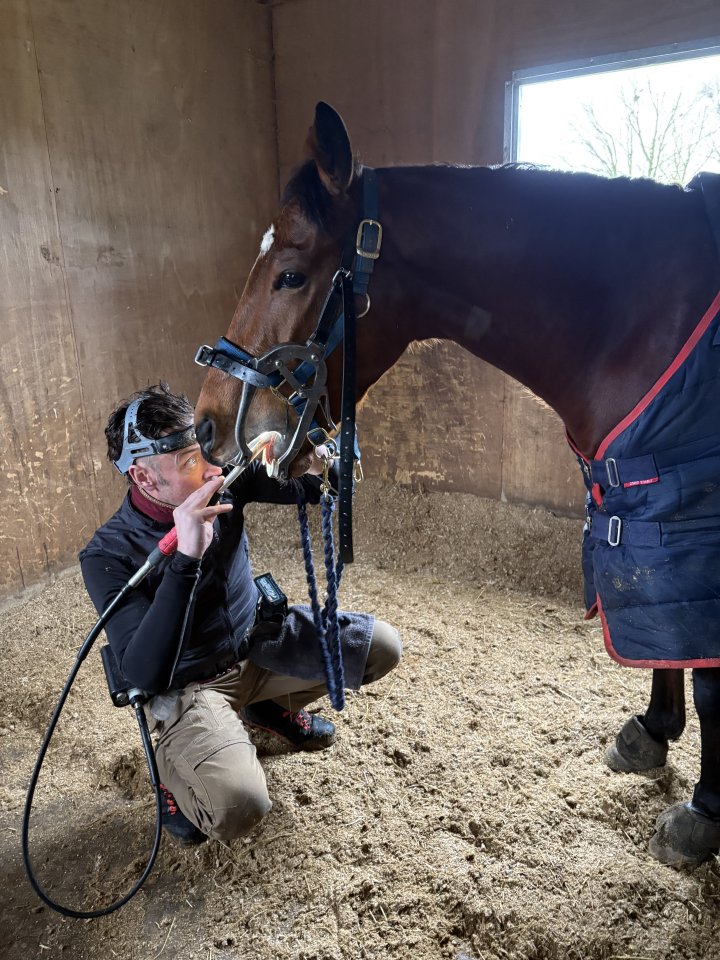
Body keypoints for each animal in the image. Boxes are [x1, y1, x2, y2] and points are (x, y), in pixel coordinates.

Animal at [195, 101, 720, 868]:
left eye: (290, 275)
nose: (205, 423)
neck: (642, 319)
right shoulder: (646, 515)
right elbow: (659, 631)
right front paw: (651, 732)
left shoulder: (690, 522)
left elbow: (704, 671)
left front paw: (703, 814)